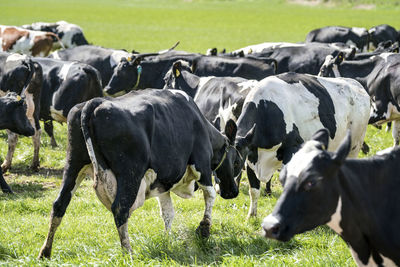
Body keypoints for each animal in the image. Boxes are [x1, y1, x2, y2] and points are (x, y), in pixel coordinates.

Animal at [39, 89, 242, 260]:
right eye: (237, 162)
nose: (233, 192)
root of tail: (96, 102)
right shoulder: (201, 163)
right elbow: (210, 194)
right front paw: (204, 229)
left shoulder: (163, 182)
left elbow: (168, 213)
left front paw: (167, 241)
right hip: (131, 173)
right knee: (120, 208)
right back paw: (128, 252)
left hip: (73, 164)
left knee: (59, 204)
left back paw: (45, 252)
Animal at [231, 71, 372, 220]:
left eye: (236, 162)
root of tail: (357, 84)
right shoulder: (252, 155)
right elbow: (254, 190)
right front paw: (251, 216)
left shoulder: (292, 149)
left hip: (355, 145)